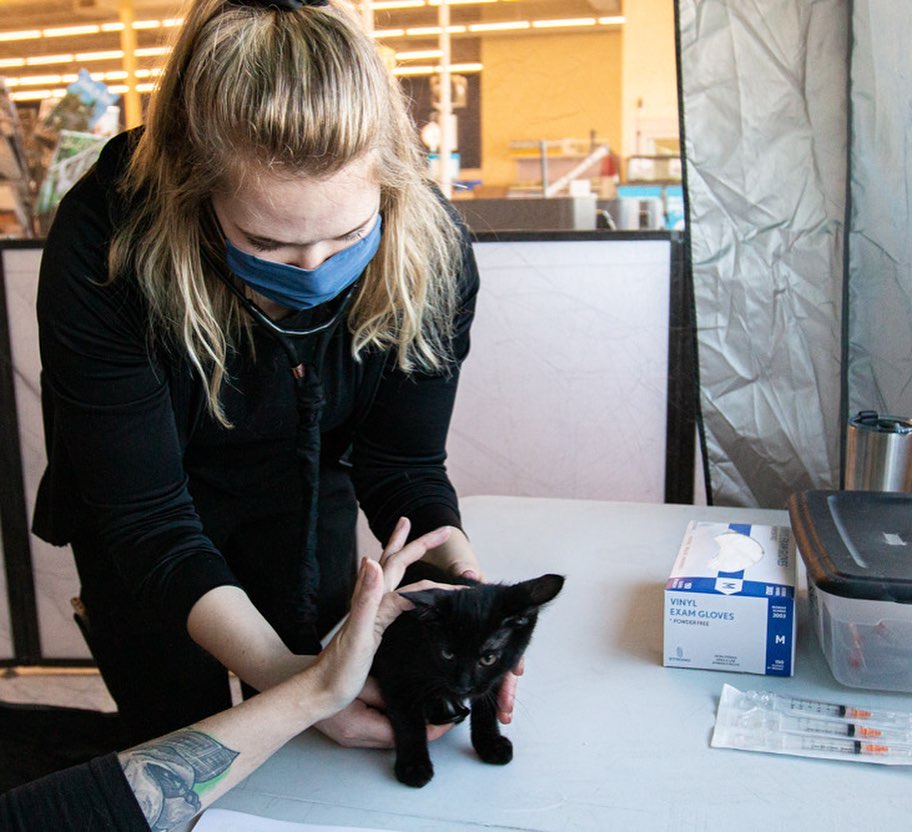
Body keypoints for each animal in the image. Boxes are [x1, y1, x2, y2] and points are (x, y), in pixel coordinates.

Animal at [370, 564, 564, 788]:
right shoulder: (392, 666)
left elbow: (487, 705)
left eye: (488, 658)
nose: (463, 686)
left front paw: (489, 743)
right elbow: (407, 718)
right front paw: (413, 765)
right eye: (447, 654)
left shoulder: (496, 675)